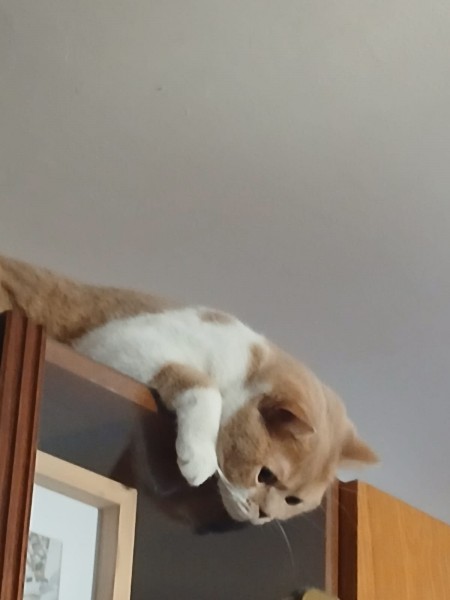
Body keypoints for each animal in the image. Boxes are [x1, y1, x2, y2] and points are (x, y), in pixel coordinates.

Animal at [0, 255, 377, 524]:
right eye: (265, 475)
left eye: (294, 500)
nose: (264, 515)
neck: (241, 364)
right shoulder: (119, 342)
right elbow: (205, 388)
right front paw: (199, 457)